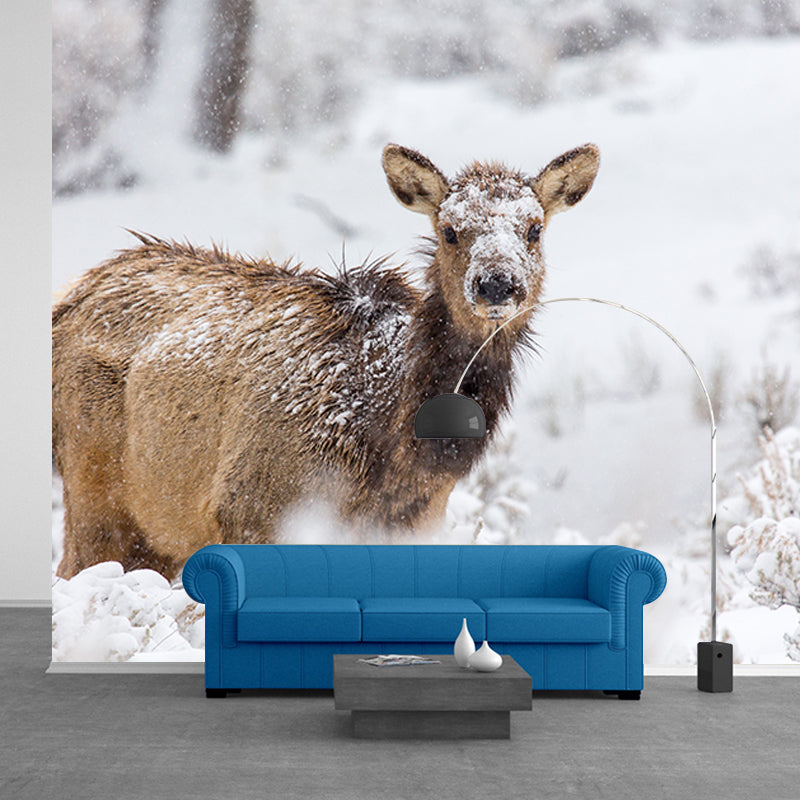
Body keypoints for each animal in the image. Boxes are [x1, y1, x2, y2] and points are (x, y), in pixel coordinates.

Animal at [52, 143, 599, 580]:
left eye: (534, 229)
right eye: (449, 230)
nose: (496, 285)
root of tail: (70, 299)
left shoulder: (416, 525)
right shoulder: (251, 507)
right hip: (96, 492)